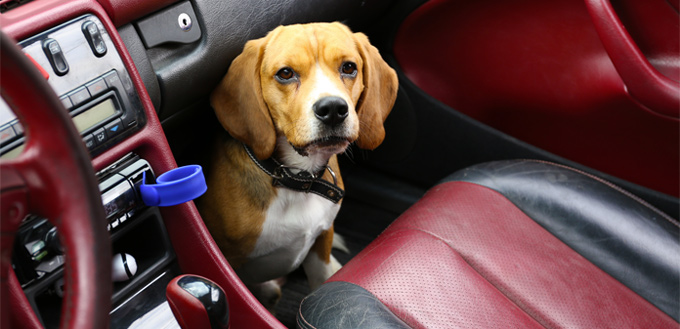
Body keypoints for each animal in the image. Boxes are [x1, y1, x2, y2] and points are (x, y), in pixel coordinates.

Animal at [197, 22, 398, 308]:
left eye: (349, 67)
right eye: (285, 73)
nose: (333, 109)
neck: (297, 178)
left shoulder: (320, 243)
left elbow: (321, 276)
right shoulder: (226, 261)